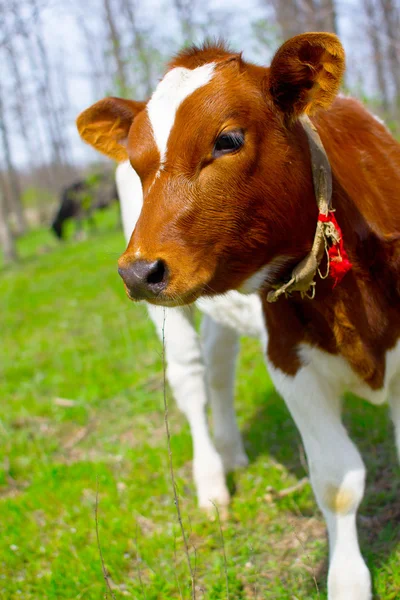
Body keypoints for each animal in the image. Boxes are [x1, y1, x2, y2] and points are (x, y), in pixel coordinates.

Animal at [77, 34, 400, 600]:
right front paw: (348, 581)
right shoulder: (289, 360)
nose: (136, 272)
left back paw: (231, 453)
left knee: (220, 366)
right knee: (189, 377)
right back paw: (211, 483)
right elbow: (337, 483)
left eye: (227, 140)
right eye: (138, 164)